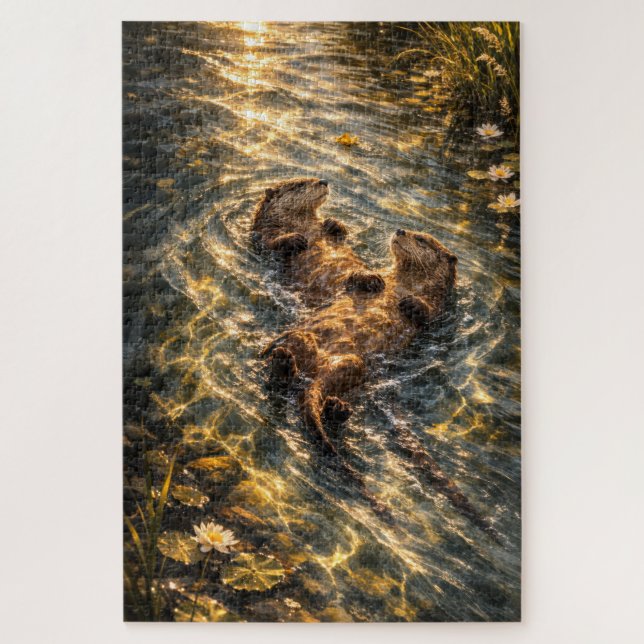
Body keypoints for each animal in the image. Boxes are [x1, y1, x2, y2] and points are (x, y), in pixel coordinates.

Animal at [255, 180, 499, 540]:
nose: (401, 230)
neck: (403, 284)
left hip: (351, 364)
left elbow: (428, 314)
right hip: (308, 341)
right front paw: (368, 279)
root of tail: (315, 370)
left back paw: (329, 402)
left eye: (422, 239)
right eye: (300, 183)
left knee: (322, 387)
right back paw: (283, 360)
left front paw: (410, 305)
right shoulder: (265, 236)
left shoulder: (440, 307)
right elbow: (290, 250)